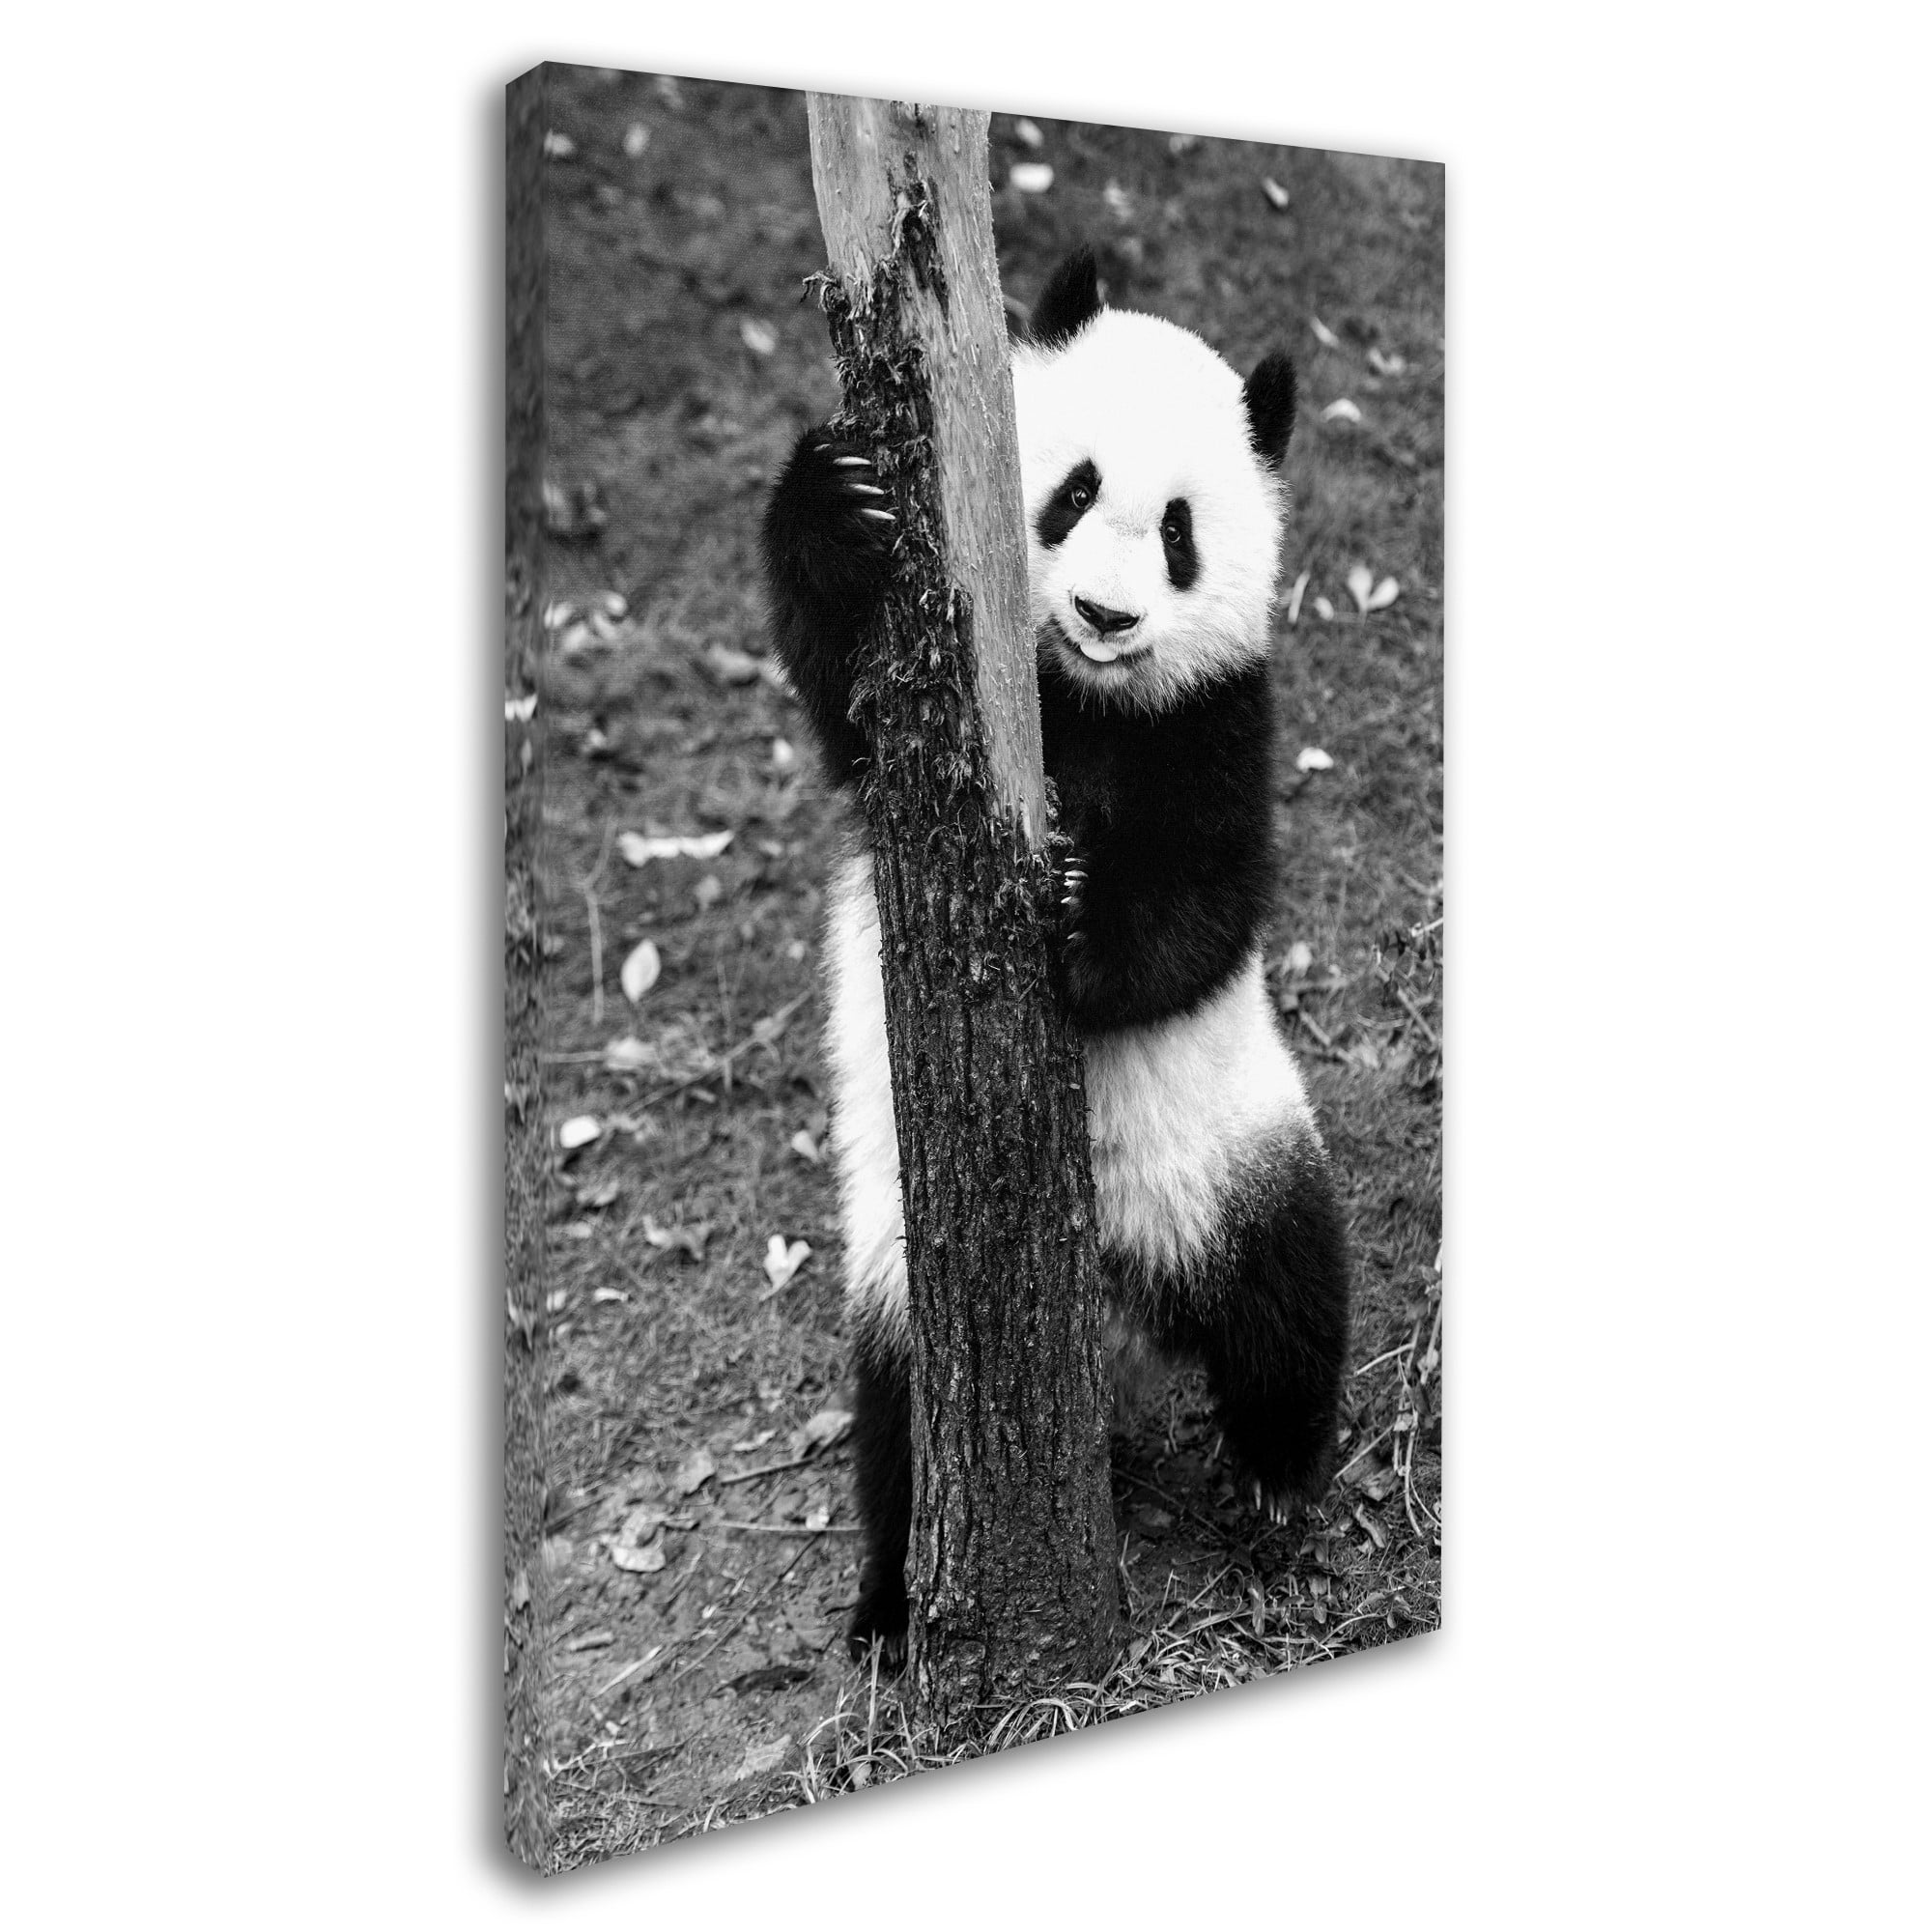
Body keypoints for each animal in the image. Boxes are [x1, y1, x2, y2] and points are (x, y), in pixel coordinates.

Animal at [760, 247, 1351, 1665]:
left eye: (1182, 534)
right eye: (1071, 491)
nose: (1103, 612)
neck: (1079, 698)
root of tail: (1122, 1300)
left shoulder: (1218, 718)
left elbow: (1208, 897)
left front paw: (1076, 927)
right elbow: (837, 701)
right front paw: (839, 496)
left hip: (1235, 1149)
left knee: (1289, 1298)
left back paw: (1277, 1476)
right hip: (902, 1267)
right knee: (903, 1425)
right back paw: (888, 1609)